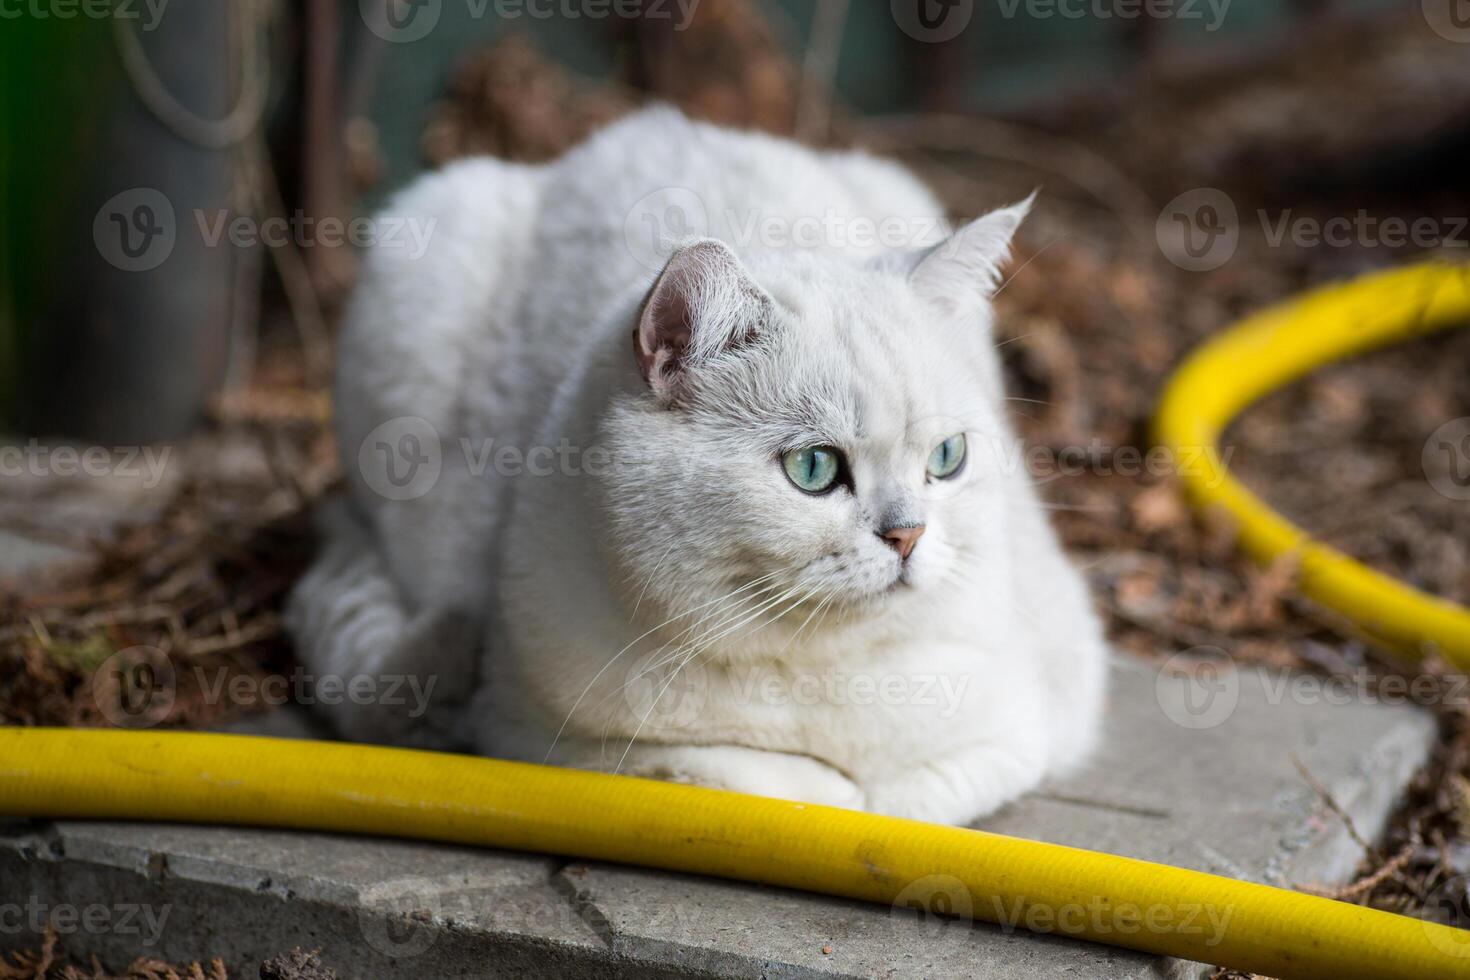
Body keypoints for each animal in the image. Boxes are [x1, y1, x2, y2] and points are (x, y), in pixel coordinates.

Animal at [286, 109, 1105, 828]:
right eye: (814, 468)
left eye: (946, 458)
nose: (909, 536)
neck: (819, 667)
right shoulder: (532, 730)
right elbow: (762, 780)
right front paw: (826, 788)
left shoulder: (1035, 719)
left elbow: (909, 799)